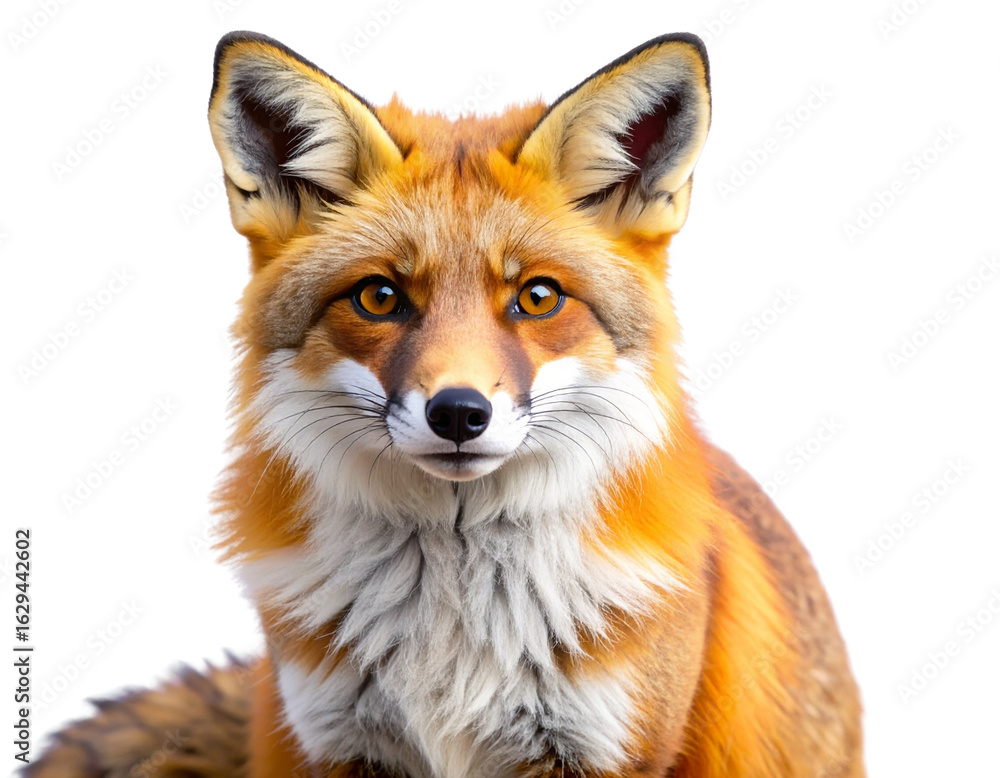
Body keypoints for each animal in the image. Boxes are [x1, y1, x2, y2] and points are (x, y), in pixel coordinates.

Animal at [26, 31, 864, 778]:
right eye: (379, 296)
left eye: (537, 297)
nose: (459, 413)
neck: (456, 626)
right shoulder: (343, 743)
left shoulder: (603, 748)